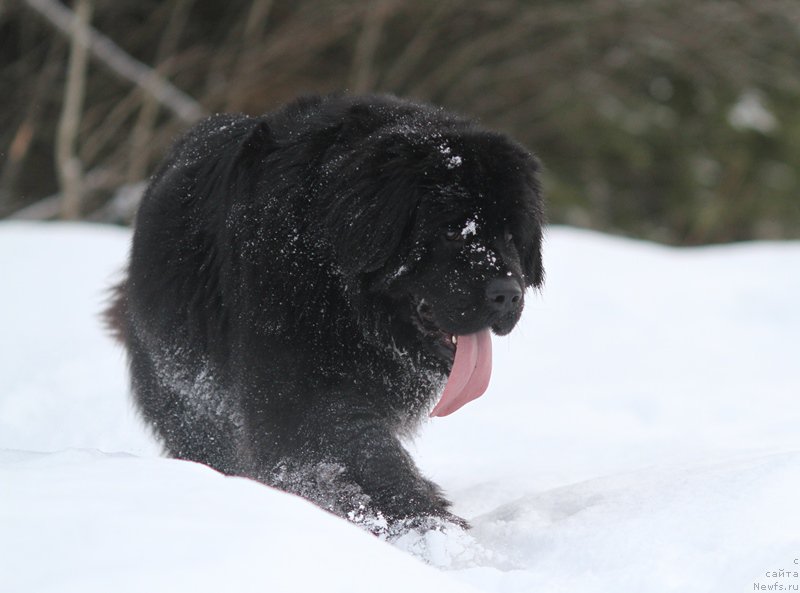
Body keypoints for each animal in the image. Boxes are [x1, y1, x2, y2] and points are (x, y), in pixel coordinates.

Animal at [106, 92, 544, 532]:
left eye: (511, 235)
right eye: (453, 230)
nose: (508, 295)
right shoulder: (297, 392)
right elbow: (360, 449)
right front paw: (426, 521)